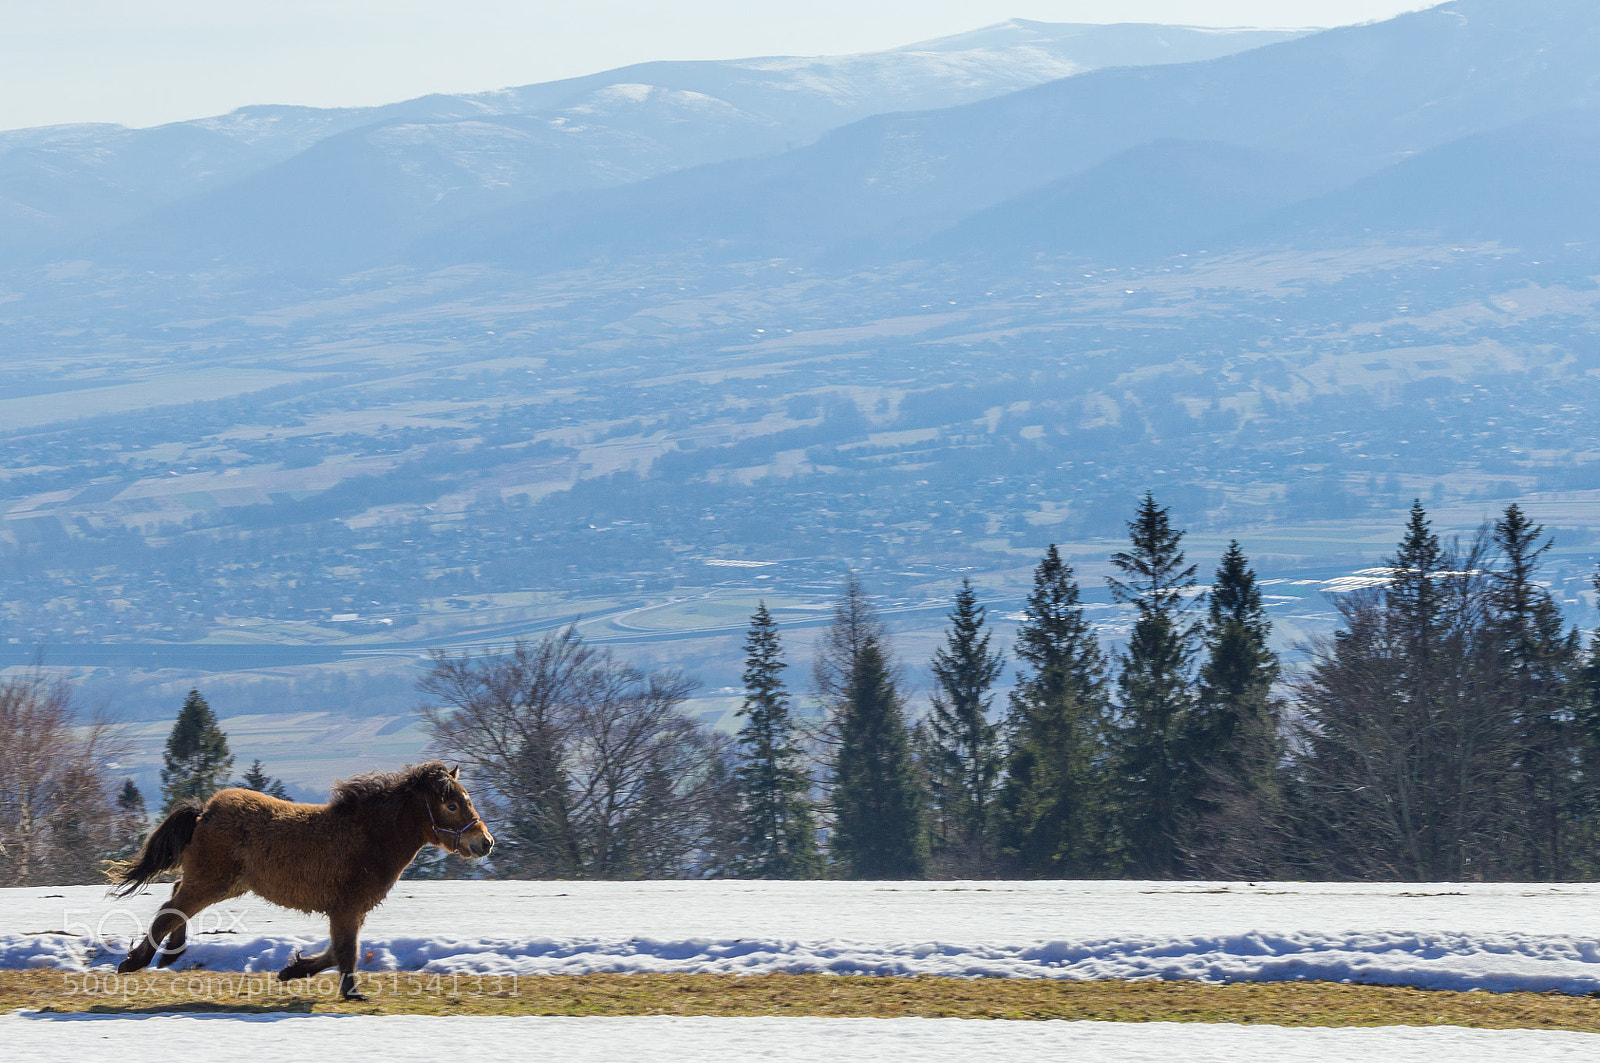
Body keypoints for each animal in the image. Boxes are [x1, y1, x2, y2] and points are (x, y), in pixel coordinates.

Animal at [109, 760, 493, 1000]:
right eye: (452, 805)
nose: (485, 842)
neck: (370, 835)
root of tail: (205, 810)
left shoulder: (349, 911)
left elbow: (336, 952)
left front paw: (292, 970)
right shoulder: (347, 908)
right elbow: (346, 952)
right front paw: (352, 993)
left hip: (221, 884)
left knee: (176, 901)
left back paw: (170, 955)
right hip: (211, 883)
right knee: (171, 909)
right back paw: (135, 962)